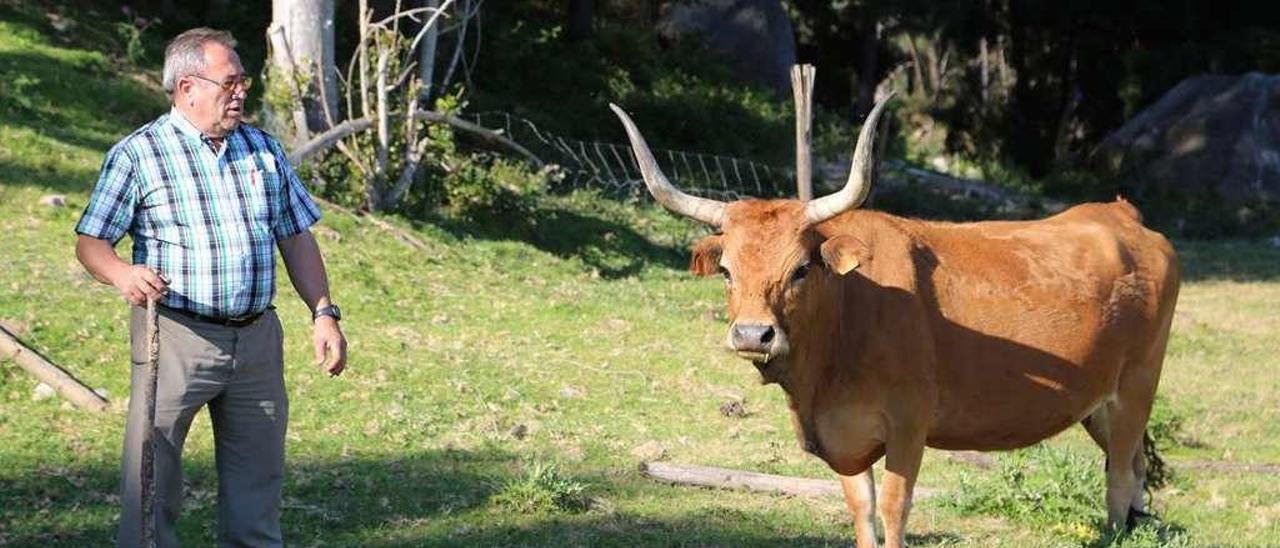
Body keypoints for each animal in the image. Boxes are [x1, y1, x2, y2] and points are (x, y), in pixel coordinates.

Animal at [609, 96, 1177, 545]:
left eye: (800, 269)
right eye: (727, 269)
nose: (753, 334)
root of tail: (1119, 213)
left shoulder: (909, 425)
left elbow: (893, 506)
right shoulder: (847, 439)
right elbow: (862, 508)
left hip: (1137, 386)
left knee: (1118, 480)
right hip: (1098, 404)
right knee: (1133, 470)